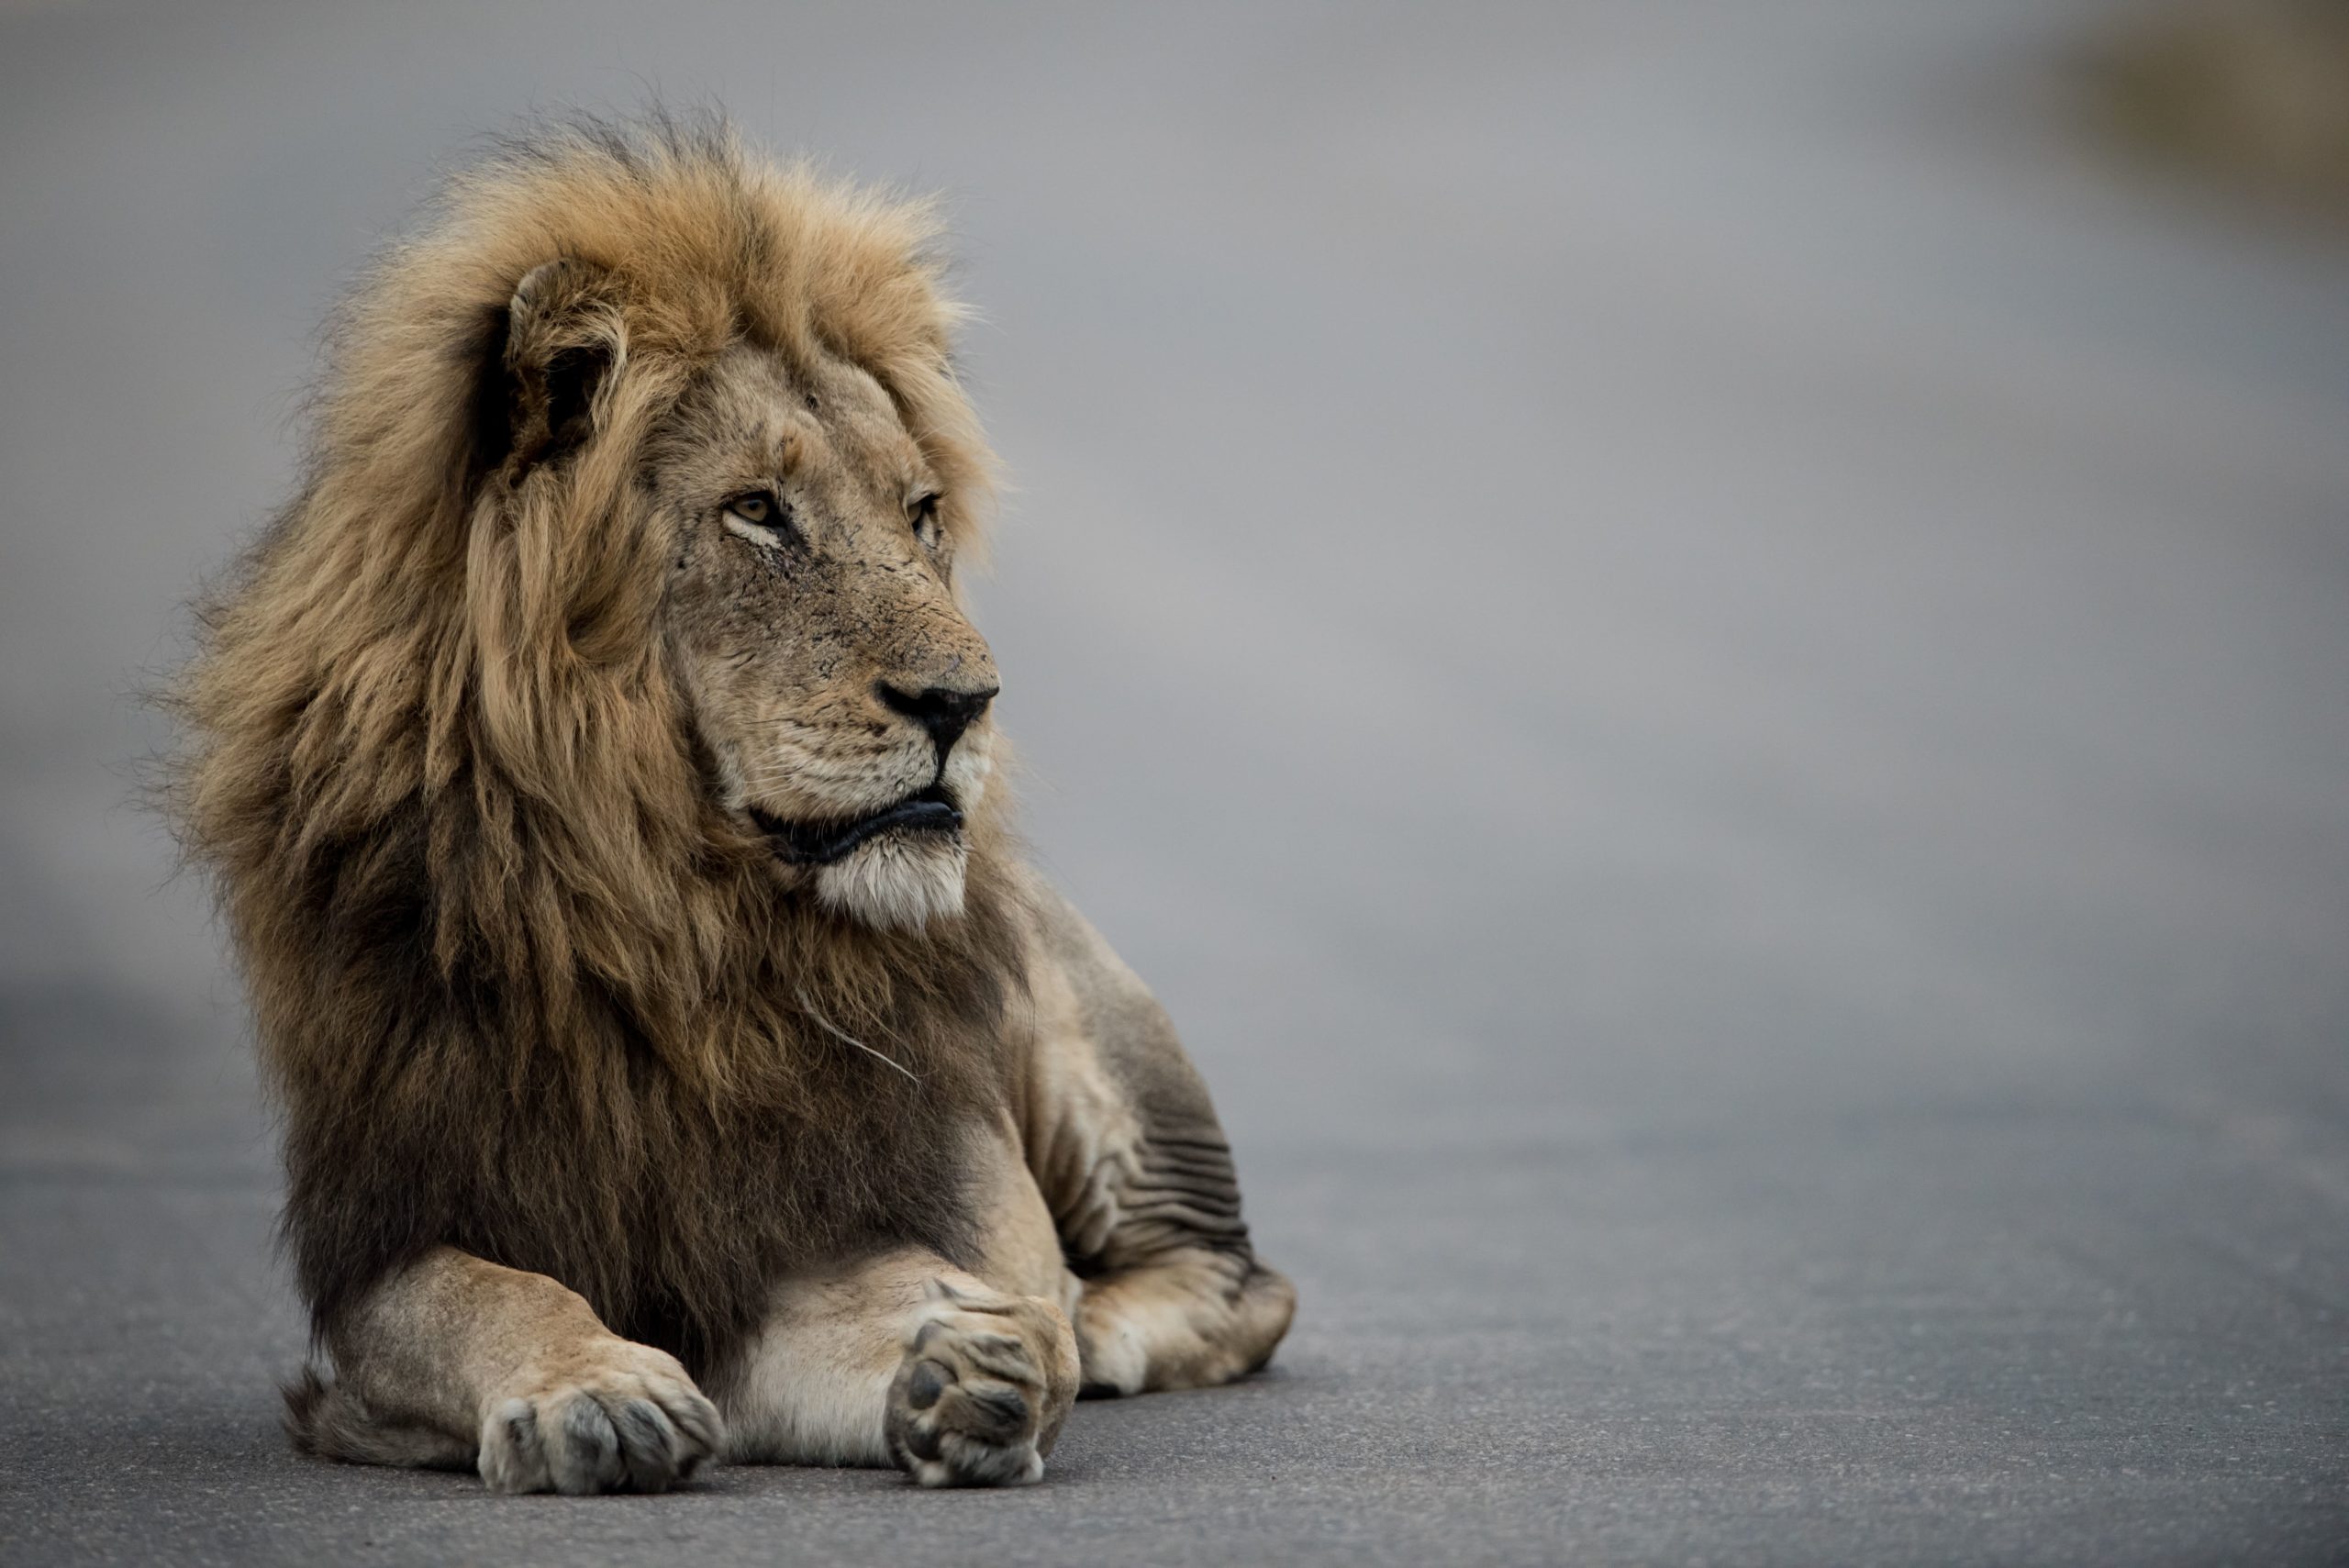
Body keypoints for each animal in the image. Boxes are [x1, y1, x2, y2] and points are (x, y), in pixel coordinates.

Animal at [171, 116, 1297, 1493]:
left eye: (920, 513)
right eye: (757, 511)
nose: (965, 701)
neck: (678, 921)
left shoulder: (861, 1208)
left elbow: (900, 1314)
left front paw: (972, 1362)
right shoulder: (391, 1240)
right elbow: (483, 1295)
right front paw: (595, 1391)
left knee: (1239, 1279)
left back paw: (1097, 1319)